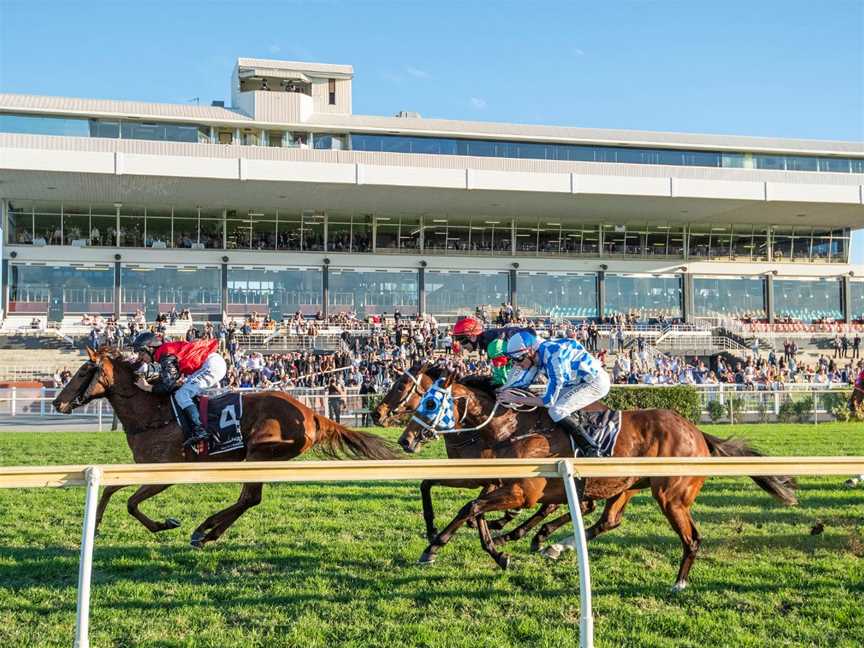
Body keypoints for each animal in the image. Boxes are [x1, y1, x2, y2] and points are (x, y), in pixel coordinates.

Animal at [55, 350, 400, 548]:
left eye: (84, 371)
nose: (58, 402)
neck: (152, 415)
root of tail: (311, 413)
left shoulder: (165, 474)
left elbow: (130, 503)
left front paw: (165, 524)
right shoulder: (143, 468)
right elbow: (111, 491)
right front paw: (95, 526)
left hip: (259, 452)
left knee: (250, 498)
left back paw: (204, 530)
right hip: (256, 458)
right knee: (248, 498)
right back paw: (207, 531)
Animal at [398, 372, 796, 588]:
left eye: (430, 402)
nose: (406, 440)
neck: (509, 427)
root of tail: (697, 432)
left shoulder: (521, 491)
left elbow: (472, 507)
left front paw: (448, 547)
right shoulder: (495, 480)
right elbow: (458, 500)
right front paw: (473, 543)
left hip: (670, 495)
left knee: (690, 537)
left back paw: (679, 581)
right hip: (627, 486)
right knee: (608, 520)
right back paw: (554, 545)